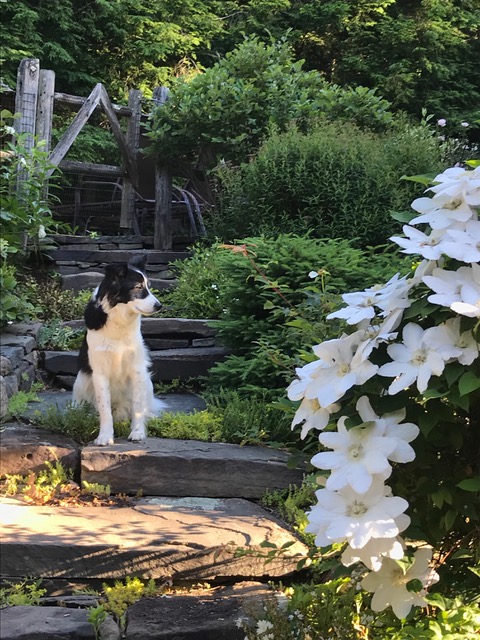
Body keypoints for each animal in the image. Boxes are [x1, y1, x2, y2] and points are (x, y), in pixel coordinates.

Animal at [71, 255, 165, 444]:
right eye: (138, 287)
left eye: (148, 286)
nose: (159, 306)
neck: (119, 323)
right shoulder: (99, 373)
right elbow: (104, 409)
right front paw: (105, 437)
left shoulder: (137, 370)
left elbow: (138, 407)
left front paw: (138, 432)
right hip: (81, 381)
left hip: (147, 381)